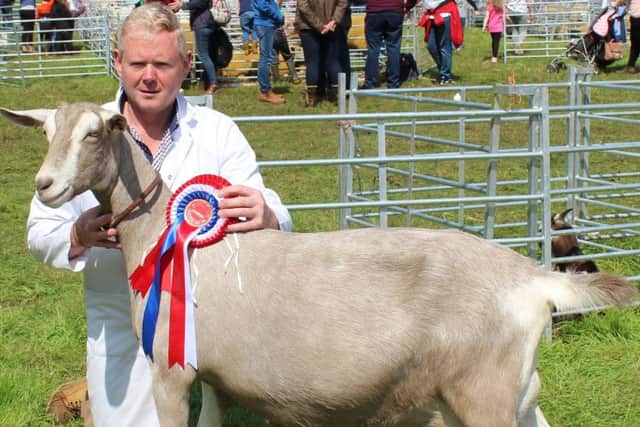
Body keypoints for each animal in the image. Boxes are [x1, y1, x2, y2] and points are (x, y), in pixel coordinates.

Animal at [2, 102, 637, 427]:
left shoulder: (171, 372)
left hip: (483, 392)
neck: (157, 232)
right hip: (511, 391)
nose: (45, 186)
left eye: (94, 134)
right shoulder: (212, 377)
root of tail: (531, 278)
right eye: (48, 132)